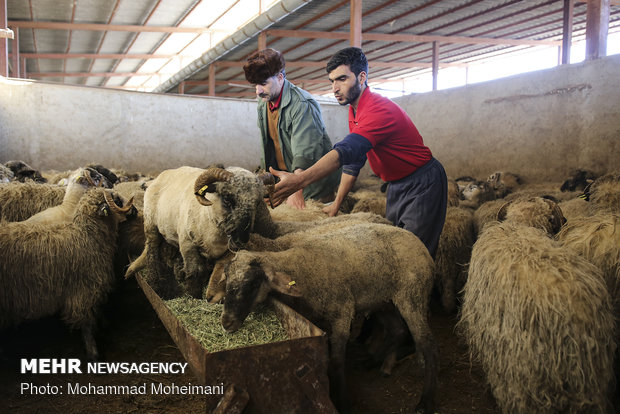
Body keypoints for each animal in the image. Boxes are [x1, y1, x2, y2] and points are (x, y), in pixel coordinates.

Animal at [0, 188, 135, 360]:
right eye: (116, 200)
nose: (135, 210)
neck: (87, 235)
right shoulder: (82, 289)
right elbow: (86, 322)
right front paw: (93, 353)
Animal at [220, 222, 438, 414]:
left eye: (252, 284)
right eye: (226, 279)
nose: (226, 322)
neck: (302, 267)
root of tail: (419, 243)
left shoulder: (342, 310)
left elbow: (337, 360)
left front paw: (343, 402)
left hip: (412, 295)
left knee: (426, 343)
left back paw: (425, 401)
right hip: (384, 300)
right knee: (398, 330)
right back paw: (374, 363)